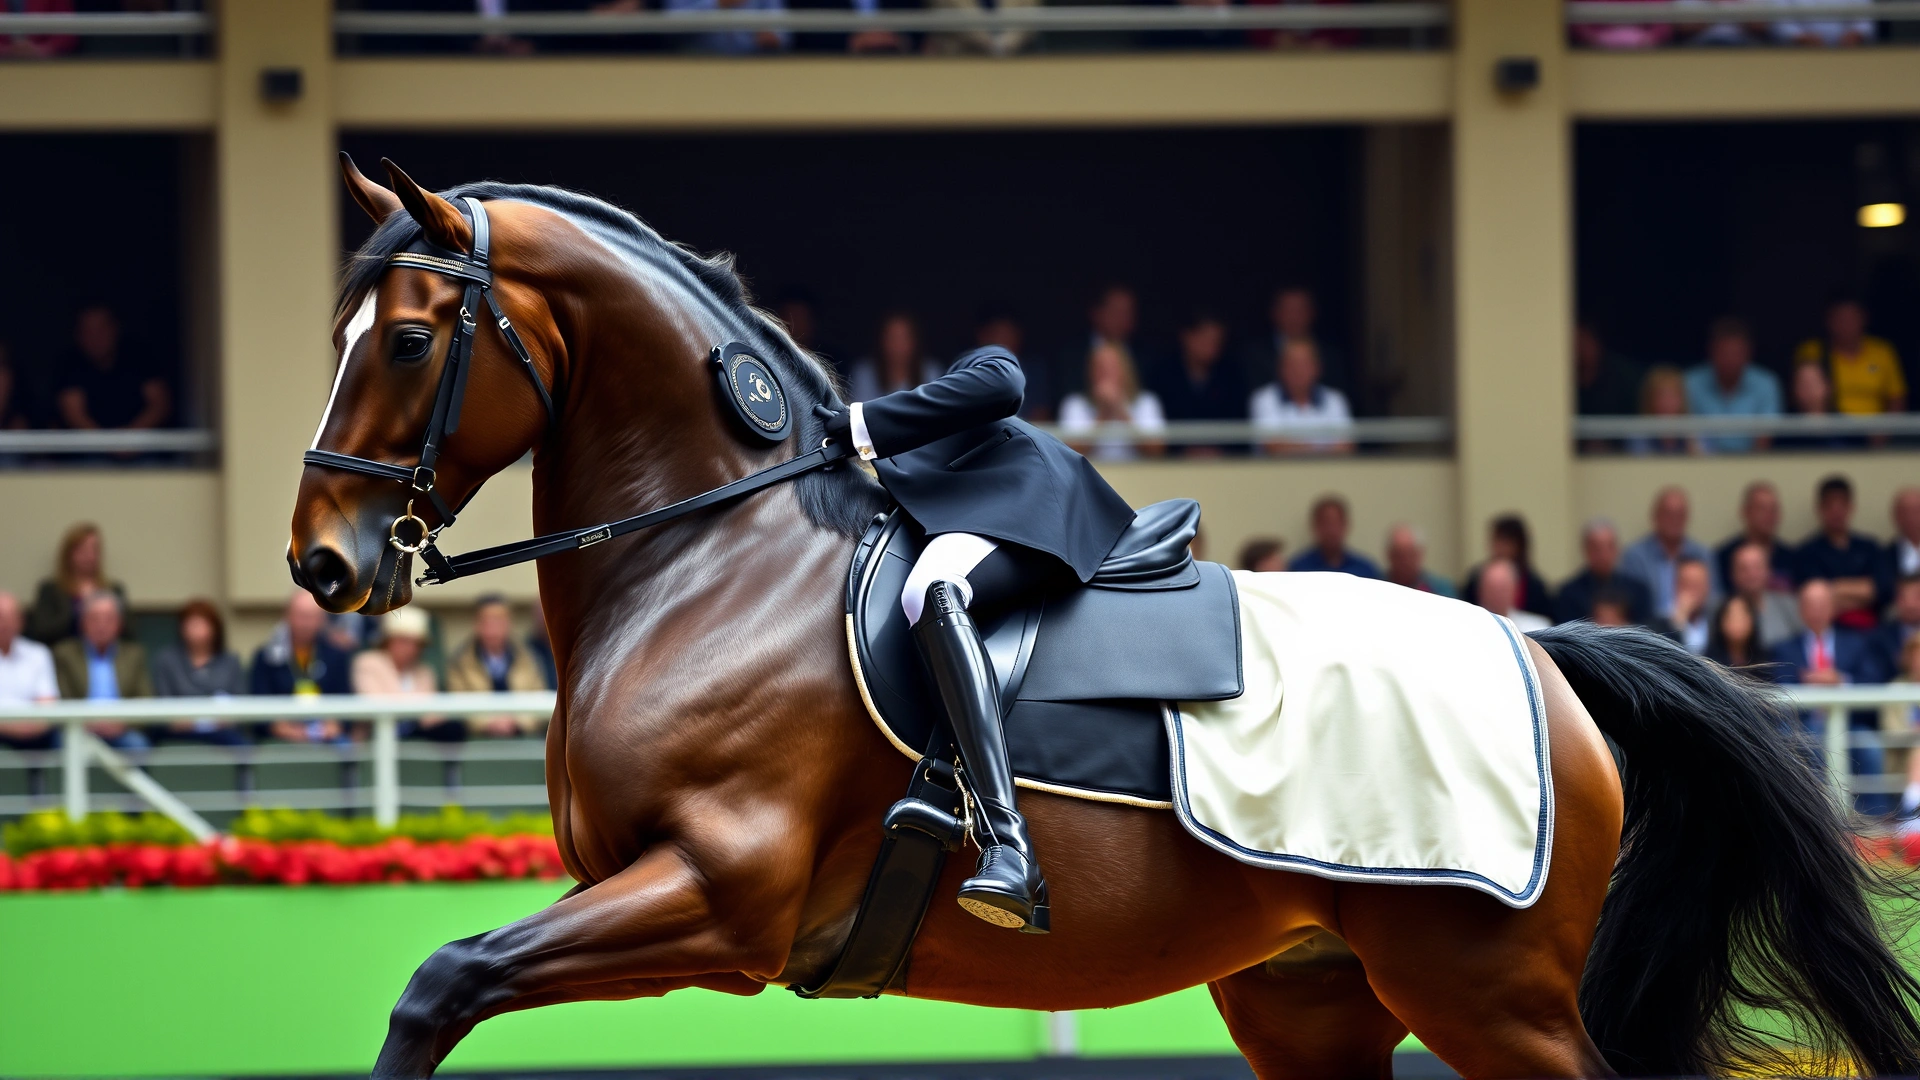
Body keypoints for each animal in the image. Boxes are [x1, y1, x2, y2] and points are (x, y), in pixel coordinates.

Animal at [290, 155, 1920, 1079]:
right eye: (339, 334)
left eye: (413, 340)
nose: (320, 568)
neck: (706, 562)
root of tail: (1542, 650)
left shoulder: (712, 891)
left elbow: (440, 985)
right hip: (1314, 1003)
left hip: (1494, 991)